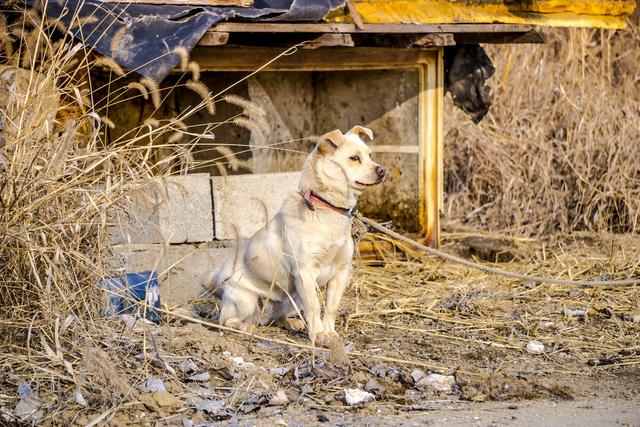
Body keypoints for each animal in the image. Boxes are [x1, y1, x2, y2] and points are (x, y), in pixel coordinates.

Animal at [205, 125, 384, 346]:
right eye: (354, 158)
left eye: (370, 155)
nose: (382, 170)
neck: (327, 207)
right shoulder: (305, 273)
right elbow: (315, 307)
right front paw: (318, 335)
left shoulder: (341, 272)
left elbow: (330, 308)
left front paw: (329, 333)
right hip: (247, 300)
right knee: (226, 321)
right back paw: (244, 327)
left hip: (293, 298)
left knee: (275, 318)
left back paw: (291, 322)